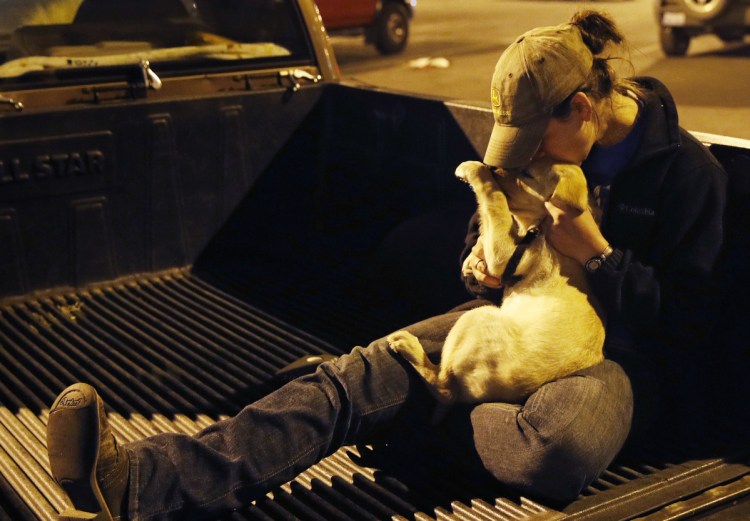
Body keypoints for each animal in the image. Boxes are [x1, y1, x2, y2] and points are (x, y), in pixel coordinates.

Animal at [388, 158, 604, 402]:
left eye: (527, 173)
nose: (492, 166)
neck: (541, 225)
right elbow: (494, 220)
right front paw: (473, 261)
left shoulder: (507, 255)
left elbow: (495, 201)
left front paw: (474, 169)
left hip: (477, 317)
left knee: (443, 387)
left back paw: (408, 345)